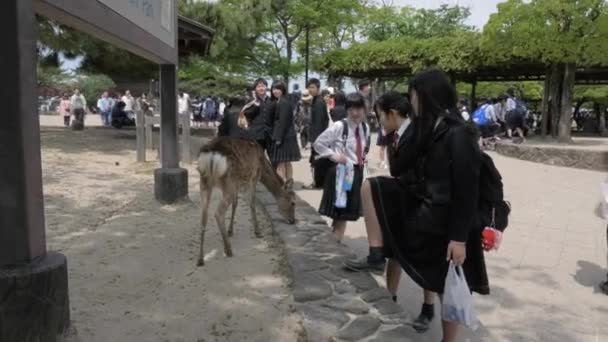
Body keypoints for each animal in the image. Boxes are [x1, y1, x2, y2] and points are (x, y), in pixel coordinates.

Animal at [197, 136, 296, 268]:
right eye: (293, 202)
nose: (293, 221)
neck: (262, 164)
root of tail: (211, 156)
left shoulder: (237, 184)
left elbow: (236, 203)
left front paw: (230, 230)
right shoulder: (253, 177)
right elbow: (251, 203)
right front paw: (258, 232)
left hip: (205, 181)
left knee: (204, 215)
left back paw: (200, 259)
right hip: (227, 181)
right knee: (218, 213)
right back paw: (228, 250)